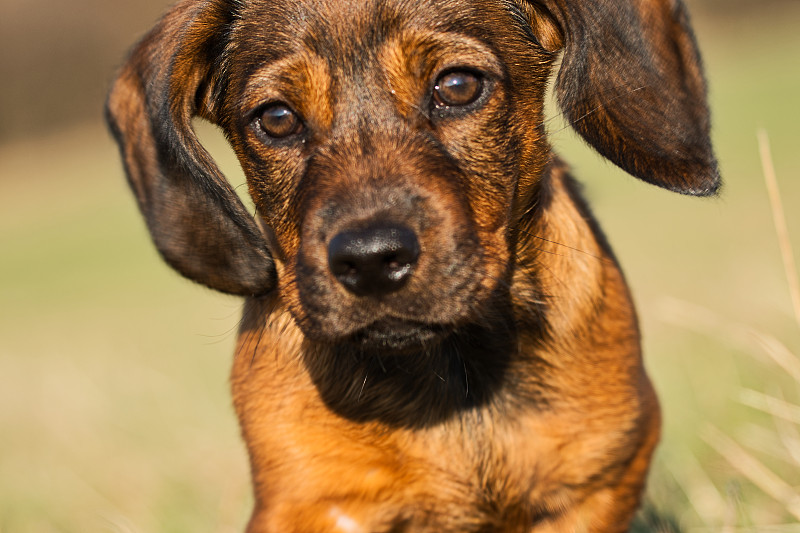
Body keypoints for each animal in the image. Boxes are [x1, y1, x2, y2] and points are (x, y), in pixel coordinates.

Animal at [106, 0, 720, 528]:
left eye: (457, 86)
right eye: (276, 118)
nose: (372, 261)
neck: (454, 375)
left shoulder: (597, 480)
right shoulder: (312, 497)